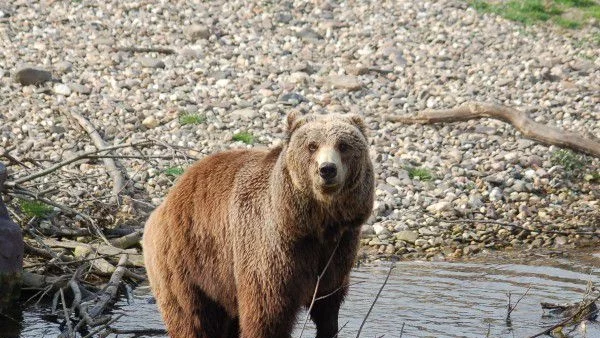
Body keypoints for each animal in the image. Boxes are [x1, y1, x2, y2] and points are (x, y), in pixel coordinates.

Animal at [142, 112, 372, 338]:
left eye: (343, 145)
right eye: (312, 145)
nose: (327, 169)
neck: (312, 224)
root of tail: (166, 200)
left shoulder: (337, 250)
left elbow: (328, 303)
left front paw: (328, 327)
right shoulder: (270, 248)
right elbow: (266, 311)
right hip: (186, 260)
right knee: (192, 317)